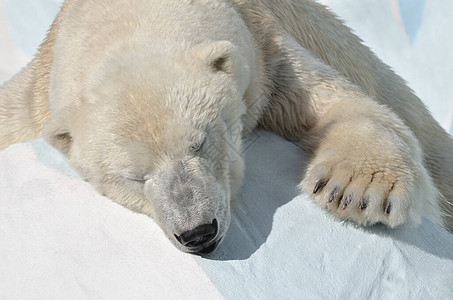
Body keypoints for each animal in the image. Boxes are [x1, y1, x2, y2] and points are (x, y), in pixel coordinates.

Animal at [0, 0, 452, 254]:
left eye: (201, 142)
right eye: (132, 177)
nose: (197, 233)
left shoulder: (266, 48)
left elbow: (341, 103)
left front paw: (356, 189)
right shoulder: (32, 102)